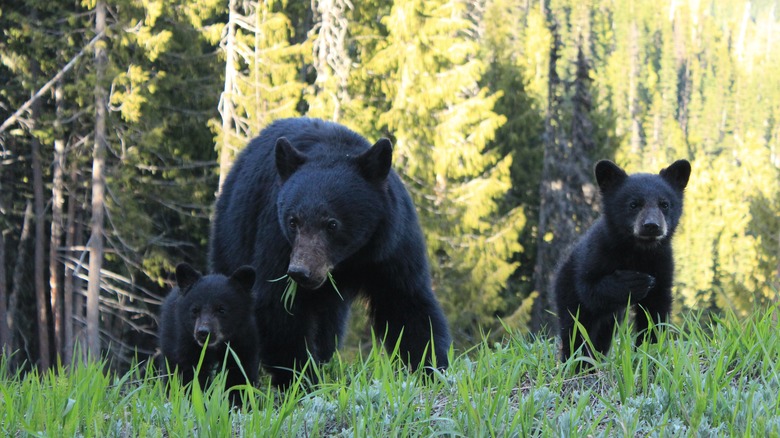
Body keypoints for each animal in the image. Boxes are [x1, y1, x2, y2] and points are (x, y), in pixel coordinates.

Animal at [158, 262, 258, 402]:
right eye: (195, 310)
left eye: (221, 309)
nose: (203, 332)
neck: (215, 346)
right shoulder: (186, 343)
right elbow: (190, 375)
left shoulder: (242, 342)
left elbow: (239, 376)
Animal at [209, 117, 450, 386]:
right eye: (293, 221)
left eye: (332, 224)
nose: (300, 272)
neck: (350, 258)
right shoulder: (276, 238)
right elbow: (278, 305)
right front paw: (302, 378)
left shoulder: (392, 244)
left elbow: (405, 301)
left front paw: (430, 368)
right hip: (233, 237)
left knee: (329, 327)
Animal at [552, 159, 692, 364]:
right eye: (634, 204)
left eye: (665, 204)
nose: (652, 226)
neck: (638, 250)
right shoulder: (597, 254)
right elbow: (589, 288)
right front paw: (634, 281)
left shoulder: (662, 262)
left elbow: (655, 312)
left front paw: (648, 352)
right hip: (567, 289)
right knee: (575, 330)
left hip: (610, 318)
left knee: (601, 337)